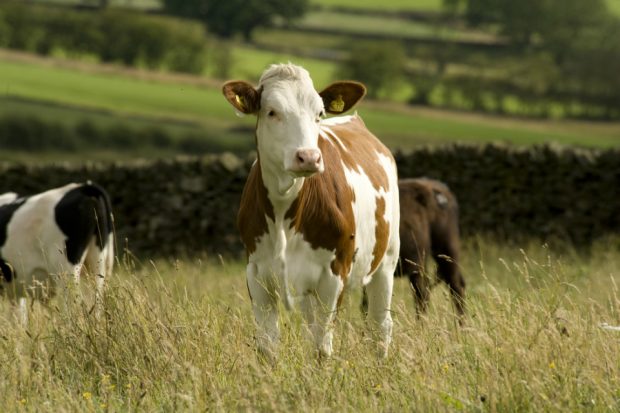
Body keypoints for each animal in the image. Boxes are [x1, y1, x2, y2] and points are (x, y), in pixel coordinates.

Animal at [0, 181, 114, 322]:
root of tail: (83, 187)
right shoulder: (15, 293)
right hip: (97, 265)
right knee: (95, 304)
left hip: (65, 273)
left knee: (73, 312)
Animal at [225, 63, 400, 358]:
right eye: (272, 111)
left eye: (319, 113)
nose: (308, 157)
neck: (285, 212)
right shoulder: (257, 274)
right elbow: (268, 346)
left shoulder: (333, 275)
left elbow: (320, 346)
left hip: (386, 260)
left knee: (380, 326)